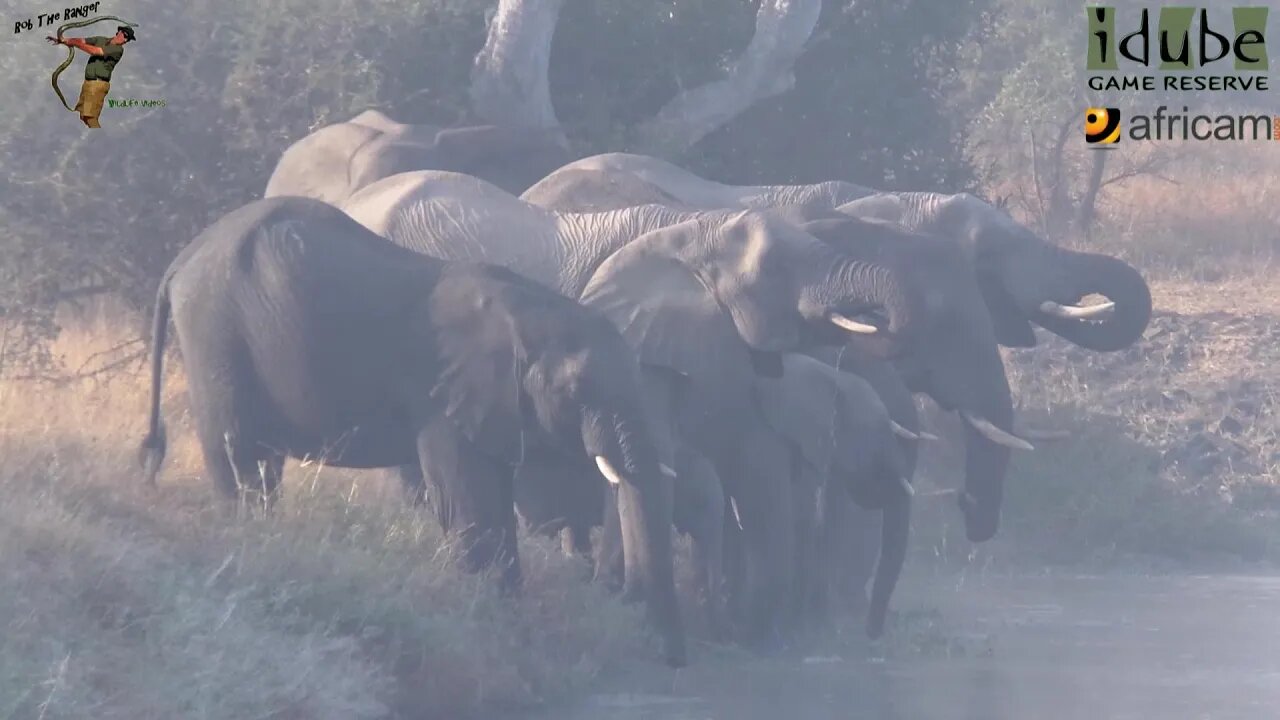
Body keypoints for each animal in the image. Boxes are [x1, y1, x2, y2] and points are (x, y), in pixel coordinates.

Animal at [135, 193, 686, 666]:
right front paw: (494, 623)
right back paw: (249, 538)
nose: (664, 654)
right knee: (240, 457)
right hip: (215, 334)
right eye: (578, 389)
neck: (528, 311)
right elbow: (470, 505)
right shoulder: (444, 398)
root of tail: (180, 261)